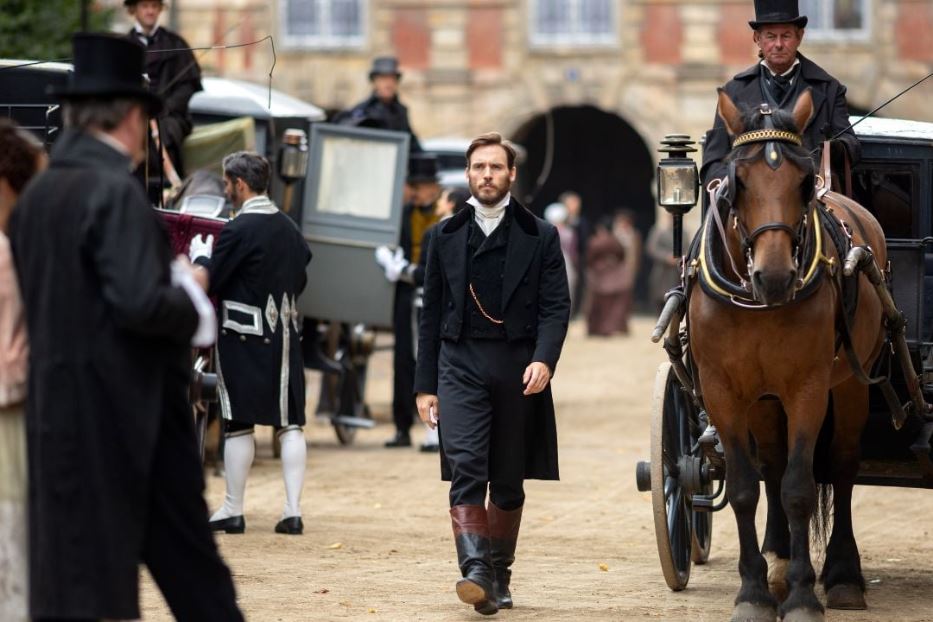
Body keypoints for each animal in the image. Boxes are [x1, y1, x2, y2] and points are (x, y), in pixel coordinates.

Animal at [692, 89, 888, 622]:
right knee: (772, 466)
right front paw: (755, 591)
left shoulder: (808, 387)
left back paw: (842, 574)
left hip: (851, 383)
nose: (776, 277)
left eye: (803, 181)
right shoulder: (723, 391)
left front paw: (802, 596)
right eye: (737, 181)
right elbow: (746, 487)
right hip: (763, 400)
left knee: (841, 464)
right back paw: (777, 561)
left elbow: (799, 488)